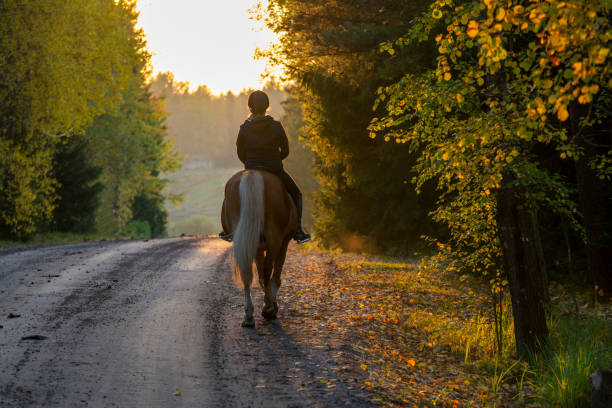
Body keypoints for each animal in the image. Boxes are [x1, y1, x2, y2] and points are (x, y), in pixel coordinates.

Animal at [221, 168, 298, 326]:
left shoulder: (257, 247)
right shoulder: (284, 243)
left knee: (247, 272)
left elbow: (260, 275)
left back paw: (248, 316)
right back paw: (268, 309)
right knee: (268, 270)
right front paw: (271, 304)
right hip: (275, 238)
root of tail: (252, 174)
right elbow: (274, 275)